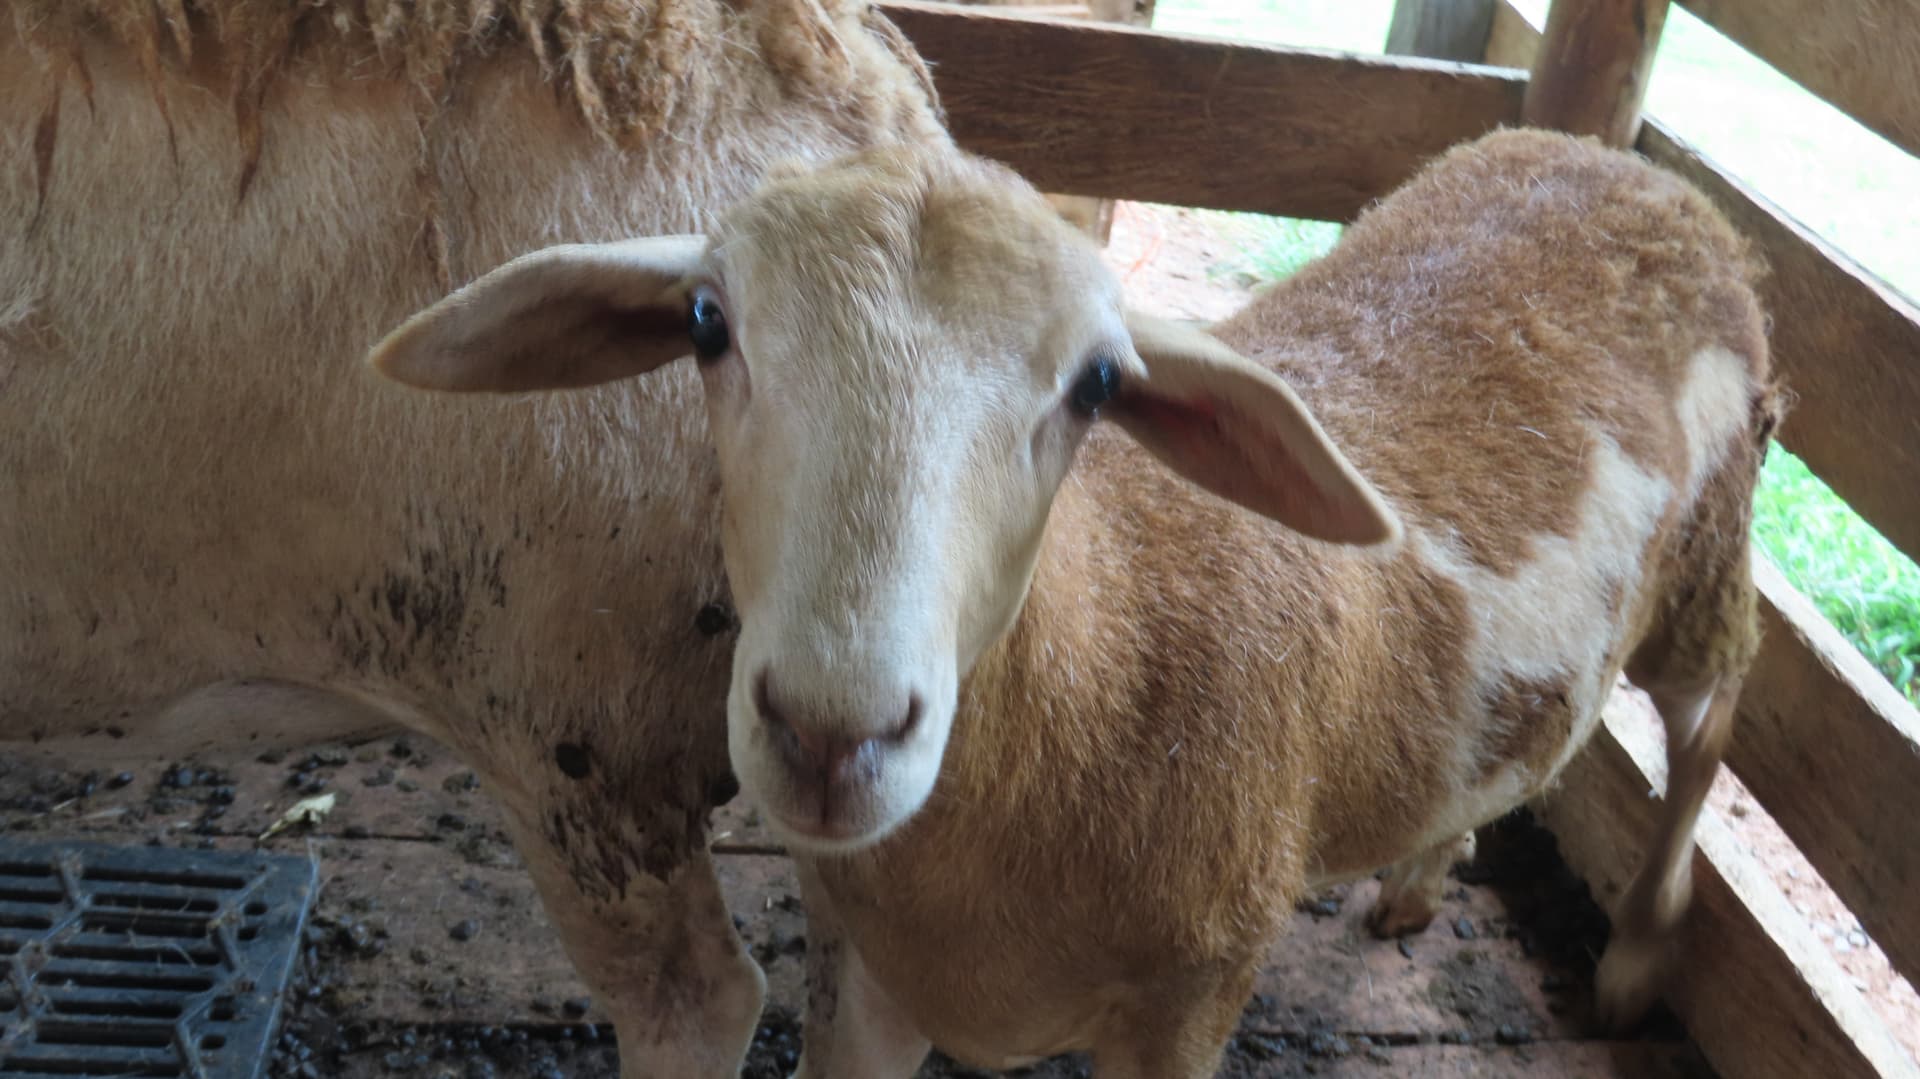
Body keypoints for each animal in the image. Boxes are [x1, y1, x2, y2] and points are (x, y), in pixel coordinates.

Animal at [370, 127, 1783, 1076]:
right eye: (709, 322)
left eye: (1099, 383)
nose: (832, 732)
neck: (1092, 666)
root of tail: (1633, 169)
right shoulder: (873, 979)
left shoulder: (1192, 994)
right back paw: (1424, 876)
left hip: (1713, 556)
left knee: (1715, 716)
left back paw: (1634, 960)